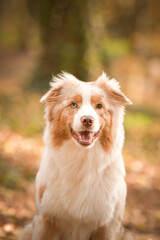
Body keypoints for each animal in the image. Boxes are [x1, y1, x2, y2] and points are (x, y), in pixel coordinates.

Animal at [18, 72, 132, 240]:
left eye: (99, 106)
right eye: (73, 105)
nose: (87, 120)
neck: (82, 161)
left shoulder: (107, 225)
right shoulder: (45, 219)